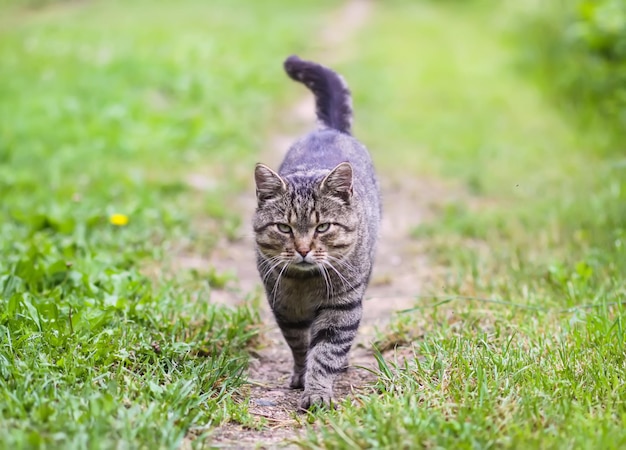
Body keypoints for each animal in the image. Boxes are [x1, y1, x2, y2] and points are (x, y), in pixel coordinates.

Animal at [251, 54, 378, 410]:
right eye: (284, 227)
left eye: (323, 227)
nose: (304, 249)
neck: (306, 284)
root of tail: (329, 130)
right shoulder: (284, 306)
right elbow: (299, 345)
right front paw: (300, 376)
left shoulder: (342, 306)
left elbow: (326, 352)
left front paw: (318, 391)